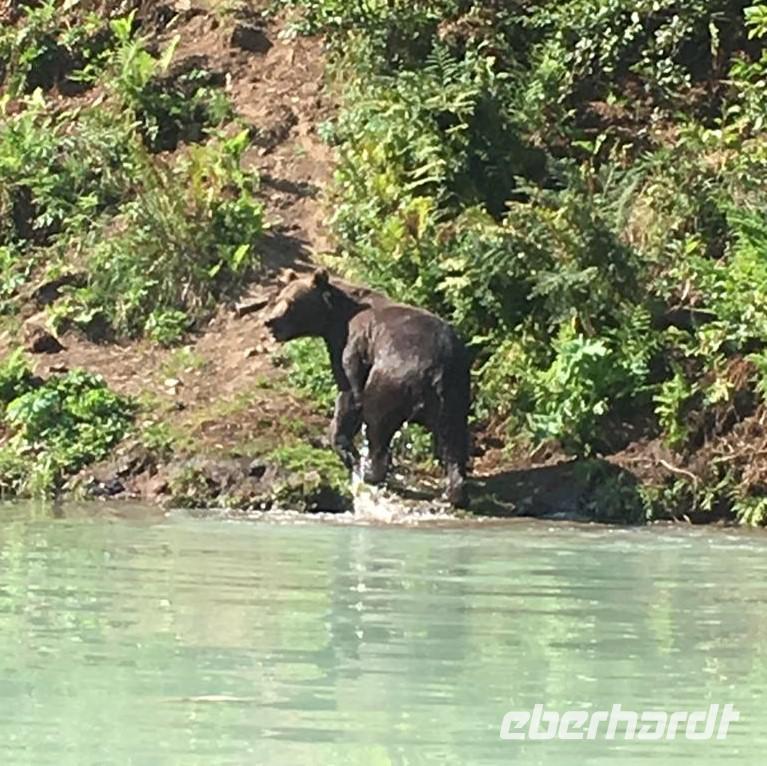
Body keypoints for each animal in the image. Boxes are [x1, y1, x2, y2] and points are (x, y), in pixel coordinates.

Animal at [264, 268, 471, 506]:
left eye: (292, 302)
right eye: (278, 298)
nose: (270, 321)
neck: (334, 318)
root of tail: (435, 369)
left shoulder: (352, 345)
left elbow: (349, 394)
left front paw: (345, 449)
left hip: (390, 377)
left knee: (377, 424)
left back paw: (372, 472)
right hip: (455, 390)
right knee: (453, 438)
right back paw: (454, 492)